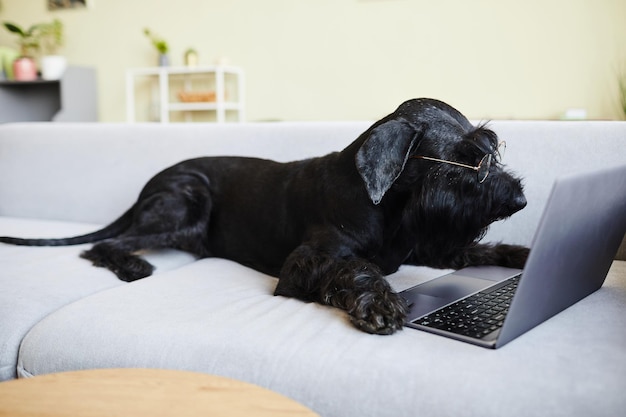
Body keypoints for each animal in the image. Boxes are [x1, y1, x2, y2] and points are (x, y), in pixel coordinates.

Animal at [0, 98, 528, 334]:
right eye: (464, 160)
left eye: (489, 150)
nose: (519, 200)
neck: (387, 206)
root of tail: (152, 182)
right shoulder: (303, 264)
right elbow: (355, 267)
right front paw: (379, 302)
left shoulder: (421, 248)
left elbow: (472, 249)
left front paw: (520, 253)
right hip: (185, 204)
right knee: (106, 243)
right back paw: (133, 266)